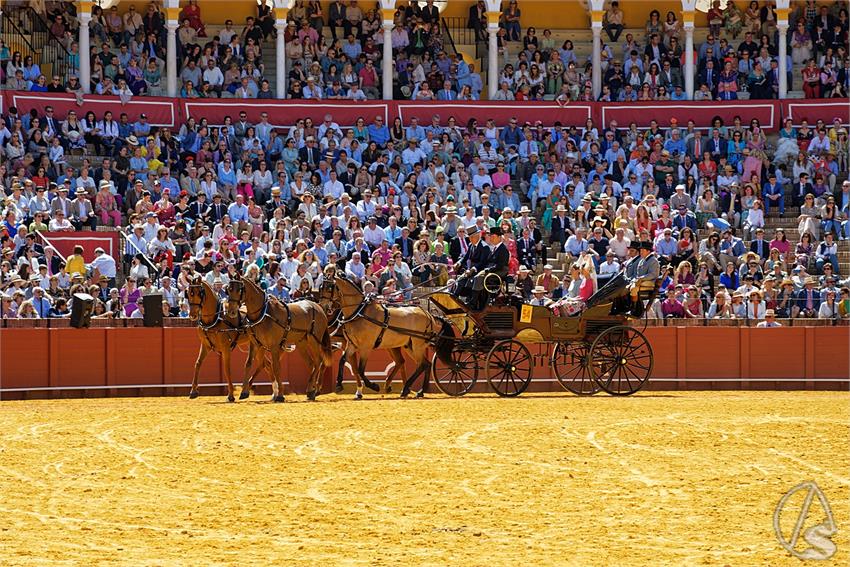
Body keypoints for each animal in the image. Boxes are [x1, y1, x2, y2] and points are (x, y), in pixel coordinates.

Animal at [225, 272, 332, 402]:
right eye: (228, 289)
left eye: (239, 289)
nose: (231, 312)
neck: (263, 314)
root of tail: (318, 307)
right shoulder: (255, 344)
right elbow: (248, 364)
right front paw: (244, 392)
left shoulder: (275, 346)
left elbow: (276, 367)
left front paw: (280, 395)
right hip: (301, 343)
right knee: (312, 363)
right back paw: (310, 390)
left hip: (314, 341)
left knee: (319, 361)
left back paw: (312, 390)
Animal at [318, 274, 454, 400]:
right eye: (320, 287)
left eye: (329, 287)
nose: (323, 307)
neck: (359, 312)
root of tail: (427, 313)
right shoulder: (352, 344)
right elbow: (343, 361)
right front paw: (339, 385)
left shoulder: (366, 347)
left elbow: (360, 369)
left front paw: (373, 386)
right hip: (410, 345)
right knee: (425, 364)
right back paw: (417, 391)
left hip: (417, 345)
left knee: (421, 364)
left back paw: (407, 389)